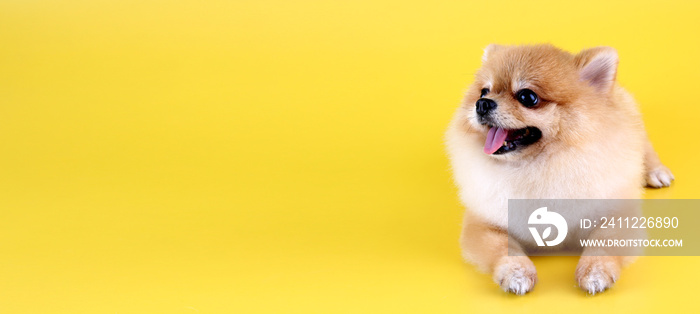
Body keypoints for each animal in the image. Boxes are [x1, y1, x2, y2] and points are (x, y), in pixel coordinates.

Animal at [446, 44, 676, 294]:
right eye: (483, 91)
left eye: (527, 97)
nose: (482, 104)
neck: (539, 167)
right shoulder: (483, 224)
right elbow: (502, 248)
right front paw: (516, 272)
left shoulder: (617, 217)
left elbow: (603, 245)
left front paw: (595, 271)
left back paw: (656, 172)